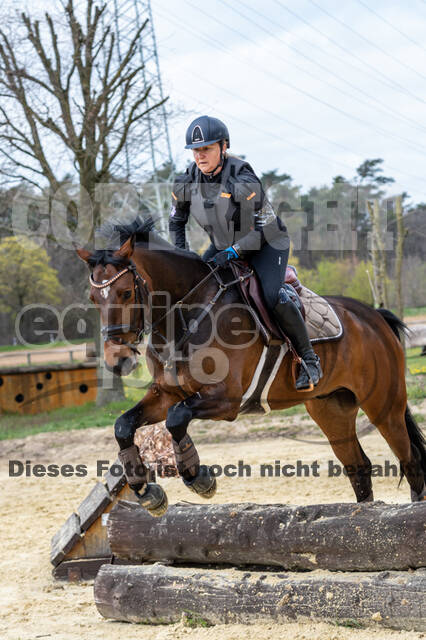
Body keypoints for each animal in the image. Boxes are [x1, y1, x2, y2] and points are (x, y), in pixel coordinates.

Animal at [77, 219, 426, 516]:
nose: (117, 359)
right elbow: (123, 425)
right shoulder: (167, 393)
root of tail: (375, 316)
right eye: (93, 297)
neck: (187, 316)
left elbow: (177, 419)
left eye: (125, 292)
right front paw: (146, 491)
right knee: (359, 466)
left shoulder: (225, 399)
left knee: (410, 461)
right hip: (331, 409)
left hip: (383, 406)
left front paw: (199, 479)